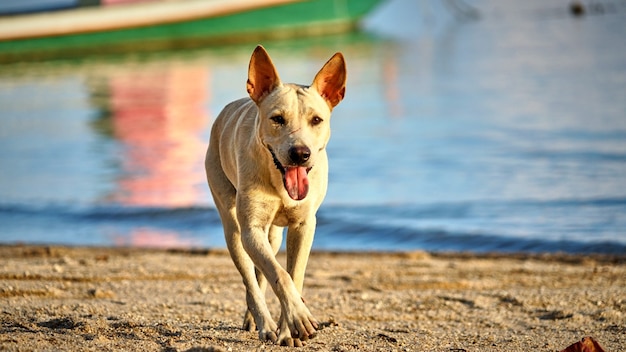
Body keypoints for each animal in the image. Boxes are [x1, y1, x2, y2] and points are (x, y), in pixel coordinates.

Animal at [205, 44, 346, 346]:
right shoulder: (252, 229)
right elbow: (279, 274)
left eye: (317, 120)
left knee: (262, 272)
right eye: (277, 119)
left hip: (274, 234)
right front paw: (297, 319)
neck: (279, 182)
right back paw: (264, 323)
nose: (300, 153)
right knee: (250, 276)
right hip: (231, 223)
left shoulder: (304, 225)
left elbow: (293, 274)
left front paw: (289, 329)